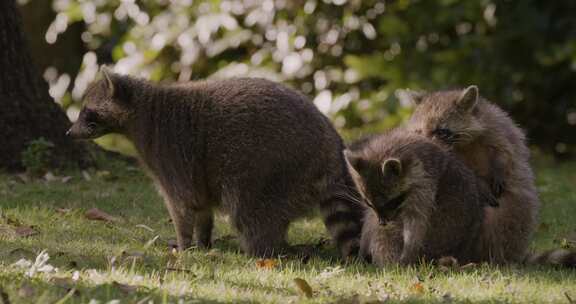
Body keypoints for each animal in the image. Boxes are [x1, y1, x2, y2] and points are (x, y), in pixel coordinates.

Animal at [67, 67, 362, 258]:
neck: (144, 110)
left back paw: (261, 251)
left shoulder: (170, 154)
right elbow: (201, 206)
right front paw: (203, 240)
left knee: (249, 212)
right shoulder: (194, 170)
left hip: (271, 166)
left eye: (87, 112)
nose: (69, 133)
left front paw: (184, 244)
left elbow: (181, 205)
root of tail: (331, 141)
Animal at [344, 131, 484, 266]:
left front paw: (408, 253)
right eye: (369, 203)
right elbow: (370, 216)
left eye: (391, 202)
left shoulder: (425, 185)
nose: (382, 223)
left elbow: (416, 223)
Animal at [404, 86, 540, 264]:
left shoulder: (497, 128)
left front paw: (500, 166)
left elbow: (505, 151)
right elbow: (467, 175)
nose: (425, 147)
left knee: (501, 219)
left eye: (441, 131)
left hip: (515, 215)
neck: (462, 145)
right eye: (419, 131)